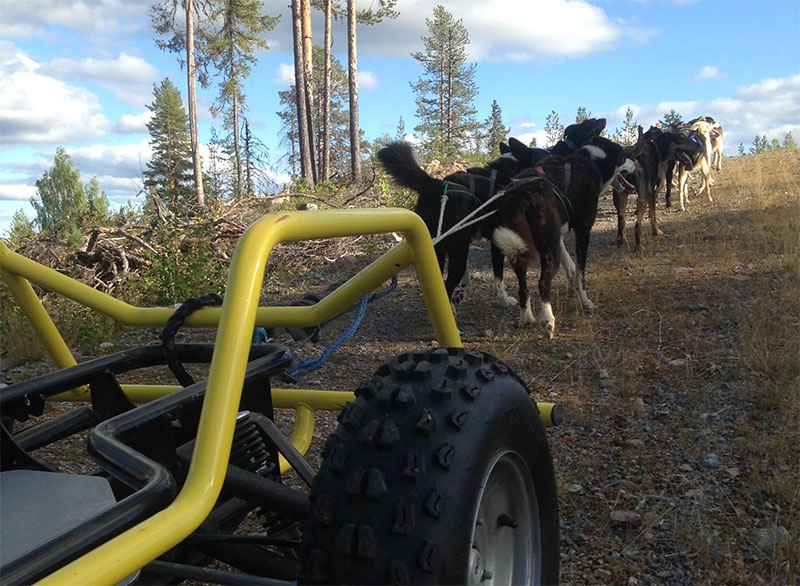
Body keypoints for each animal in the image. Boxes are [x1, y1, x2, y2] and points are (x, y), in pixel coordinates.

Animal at [490, 135, 636, 336]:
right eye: (623, 156)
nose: (635, 163)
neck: (592, 162)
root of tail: (519, 196)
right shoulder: (583, 231)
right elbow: (581, 273)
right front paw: (585, 301)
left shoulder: (558, 236)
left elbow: (571, 265)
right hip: (548, 252)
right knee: (543, 283)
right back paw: (547, 320)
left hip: (521, 249)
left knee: (523, 286)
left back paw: (527, 318)